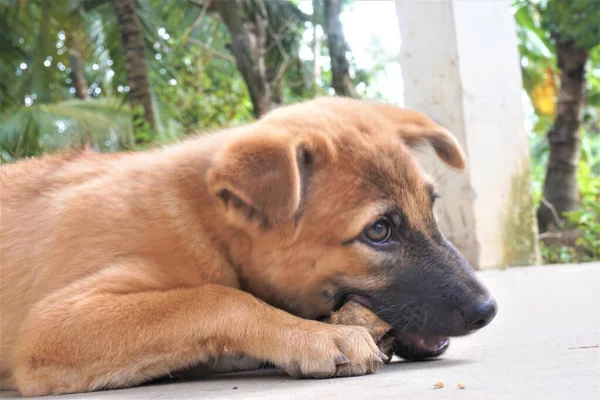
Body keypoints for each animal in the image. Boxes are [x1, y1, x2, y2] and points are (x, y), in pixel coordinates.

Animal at [0, 96, 496, 394]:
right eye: (378, 231)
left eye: (431, 207)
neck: (207, 226)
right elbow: (216, 298)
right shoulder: (51, 325)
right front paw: (317, 335)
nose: (487, 311)